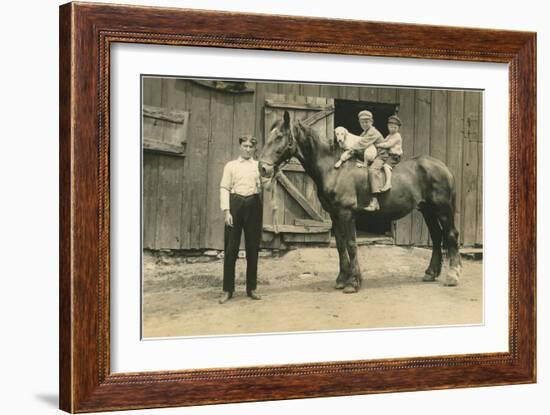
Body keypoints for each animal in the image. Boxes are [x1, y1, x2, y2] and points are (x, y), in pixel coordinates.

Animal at [260, 110, 464, 292]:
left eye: (279, 136)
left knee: (450, 235)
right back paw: (431, 273)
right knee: (437, 236)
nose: (263, 168)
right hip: (427, 210)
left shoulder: (347, 213)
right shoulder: (335, 216)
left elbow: (351, 244)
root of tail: (443, 167)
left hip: (443, 210)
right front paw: (341, 280)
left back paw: (452, 276)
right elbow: (340, 245)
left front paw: (352, 283)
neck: (334, 169)